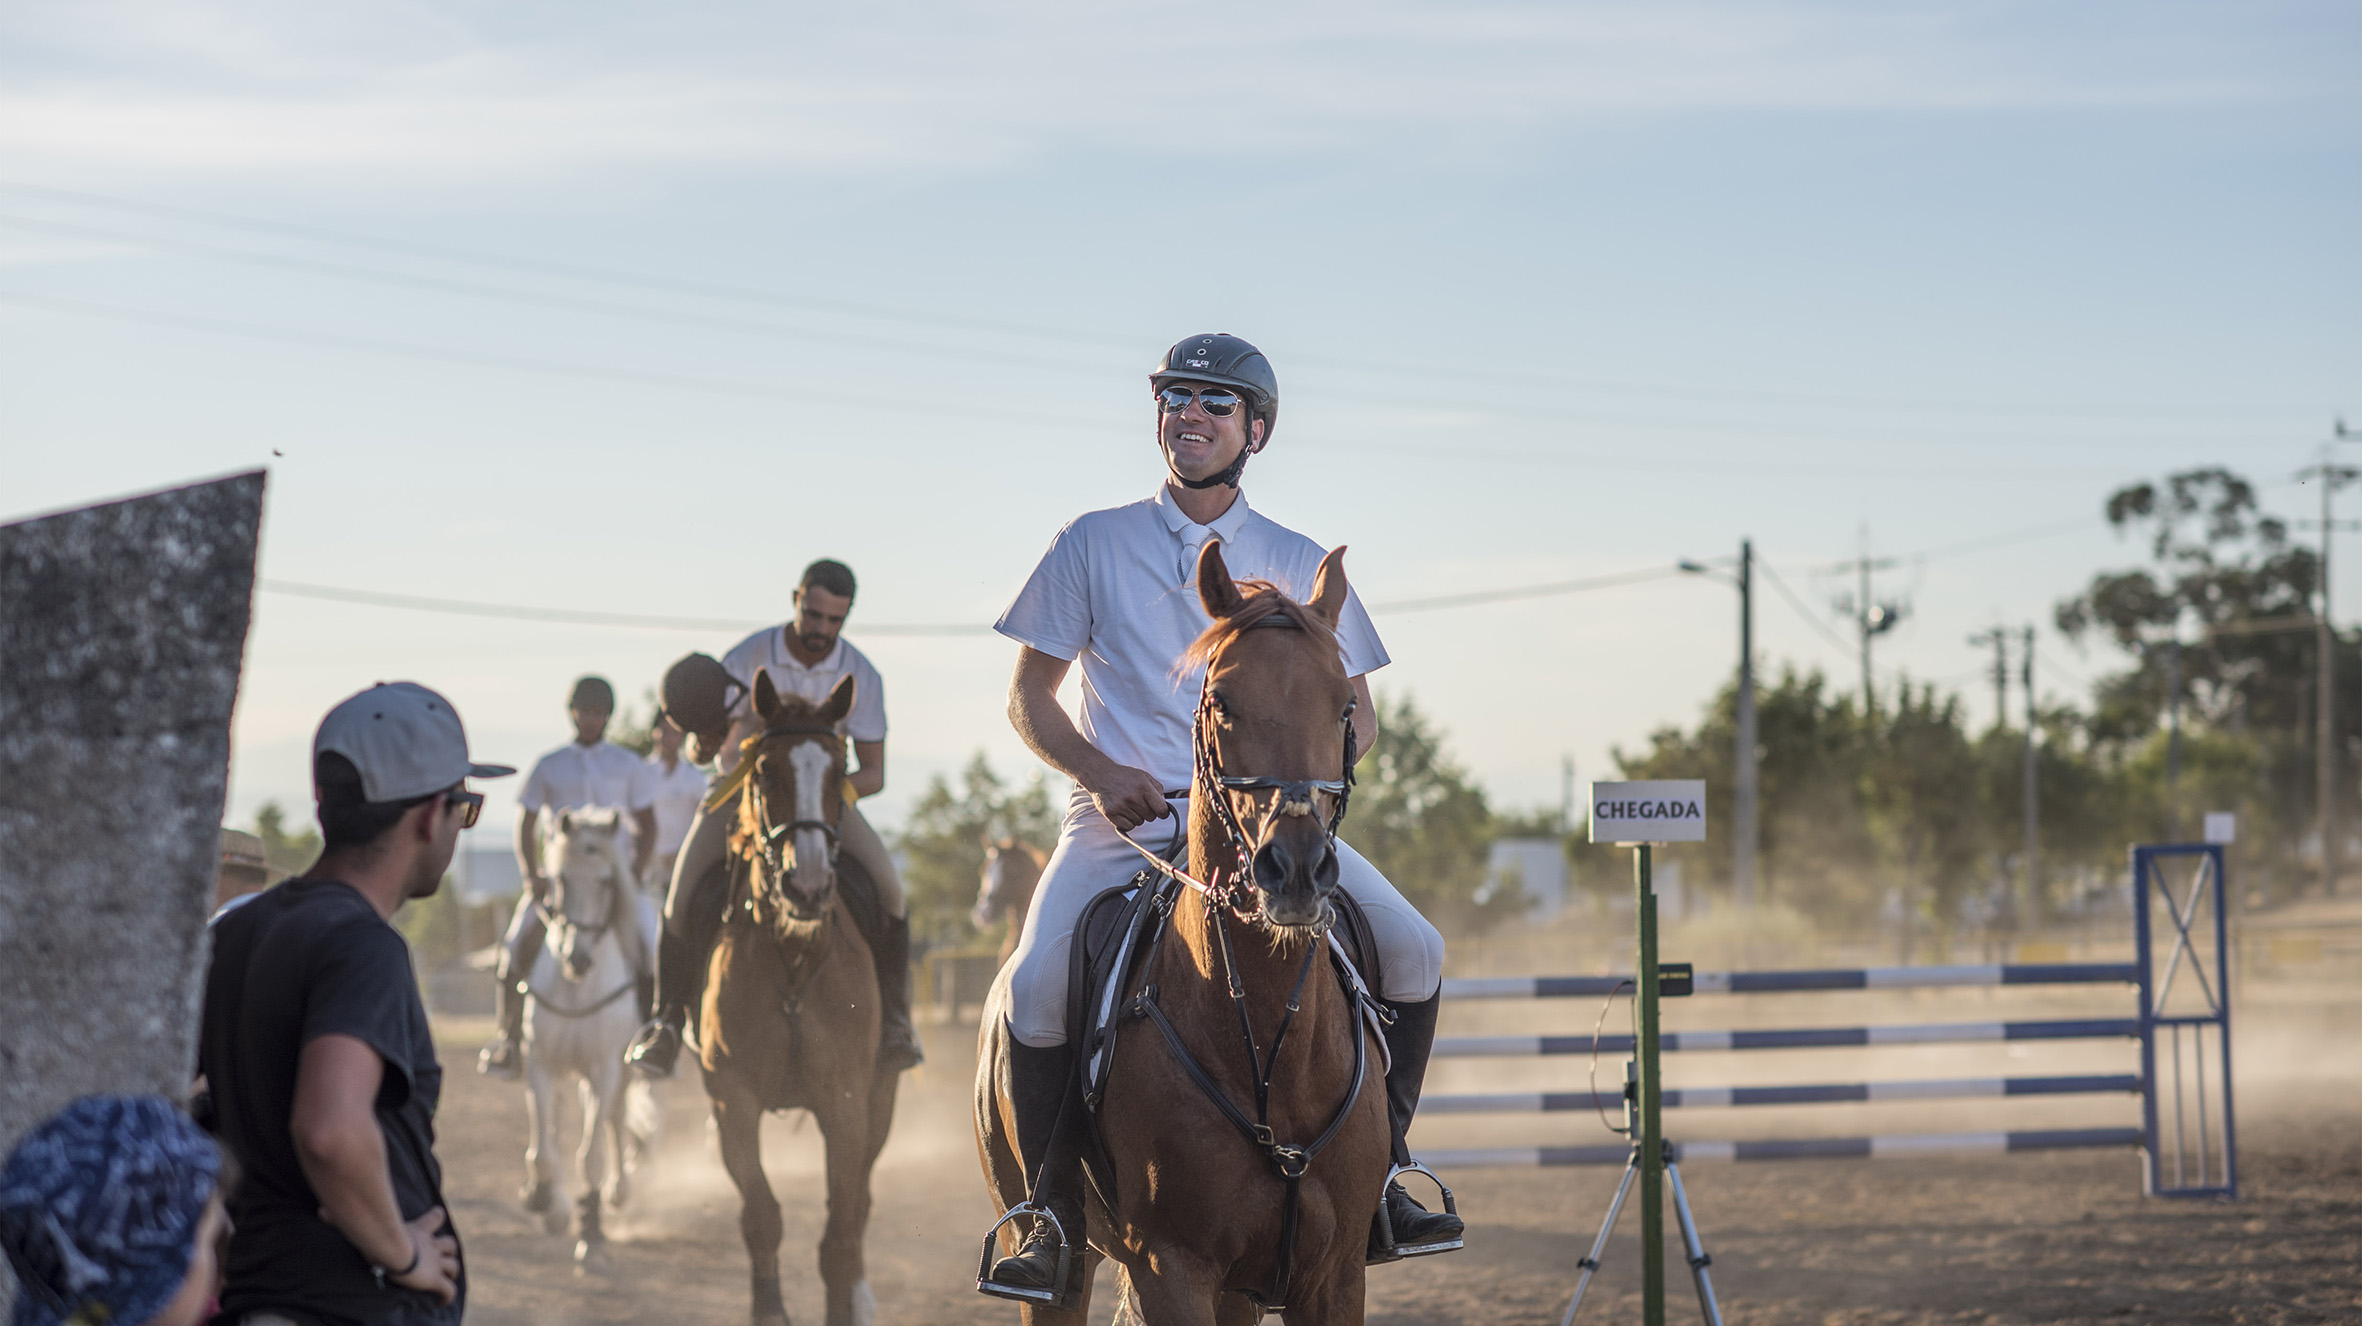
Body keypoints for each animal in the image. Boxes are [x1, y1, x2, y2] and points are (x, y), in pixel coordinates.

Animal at [522, 808, 656, 1276]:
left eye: (606, 881)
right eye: (559, 878)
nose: (577, 959)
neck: (578, 989)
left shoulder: (604, 1070)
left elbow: (592, 1155)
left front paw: (593, 1238)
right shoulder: (540, 1065)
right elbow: (544, 1152)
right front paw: (546, 1201)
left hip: (616, 1070)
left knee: (613, 1120)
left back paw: (618, 1192)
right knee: (553, 1126)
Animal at [699, 671, 892, 1323]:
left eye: (838, 770)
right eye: (764, 772)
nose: (806, 885)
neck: (792, 961)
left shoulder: (847, 1104)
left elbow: (840, 1235)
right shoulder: (733, 1101)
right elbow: (762, 1217)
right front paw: (771, 1310)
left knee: (858, 1211)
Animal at [973, 541, 1379, 1323]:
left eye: (1345, 704)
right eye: (1222, 702)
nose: (1296, 870)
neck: (1267, 1043)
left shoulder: (1336, 1275)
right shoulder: (1173, 1268)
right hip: (1055, 1254)